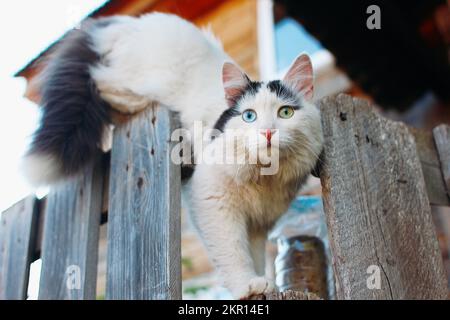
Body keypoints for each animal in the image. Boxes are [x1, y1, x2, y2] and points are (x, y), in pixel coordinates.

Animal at [22, 11, 324, 298]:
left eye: (285, 112)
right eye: (249, 116)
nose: (267, 132)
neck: (265, 176)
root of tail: (125, 23)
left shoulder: (259, 225)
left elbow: (256, 255)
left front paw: (263, 280)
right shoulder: (212, 200)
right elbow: (233, 252)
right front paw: (248, 285)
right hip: (137, 81)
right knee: (103, 84)